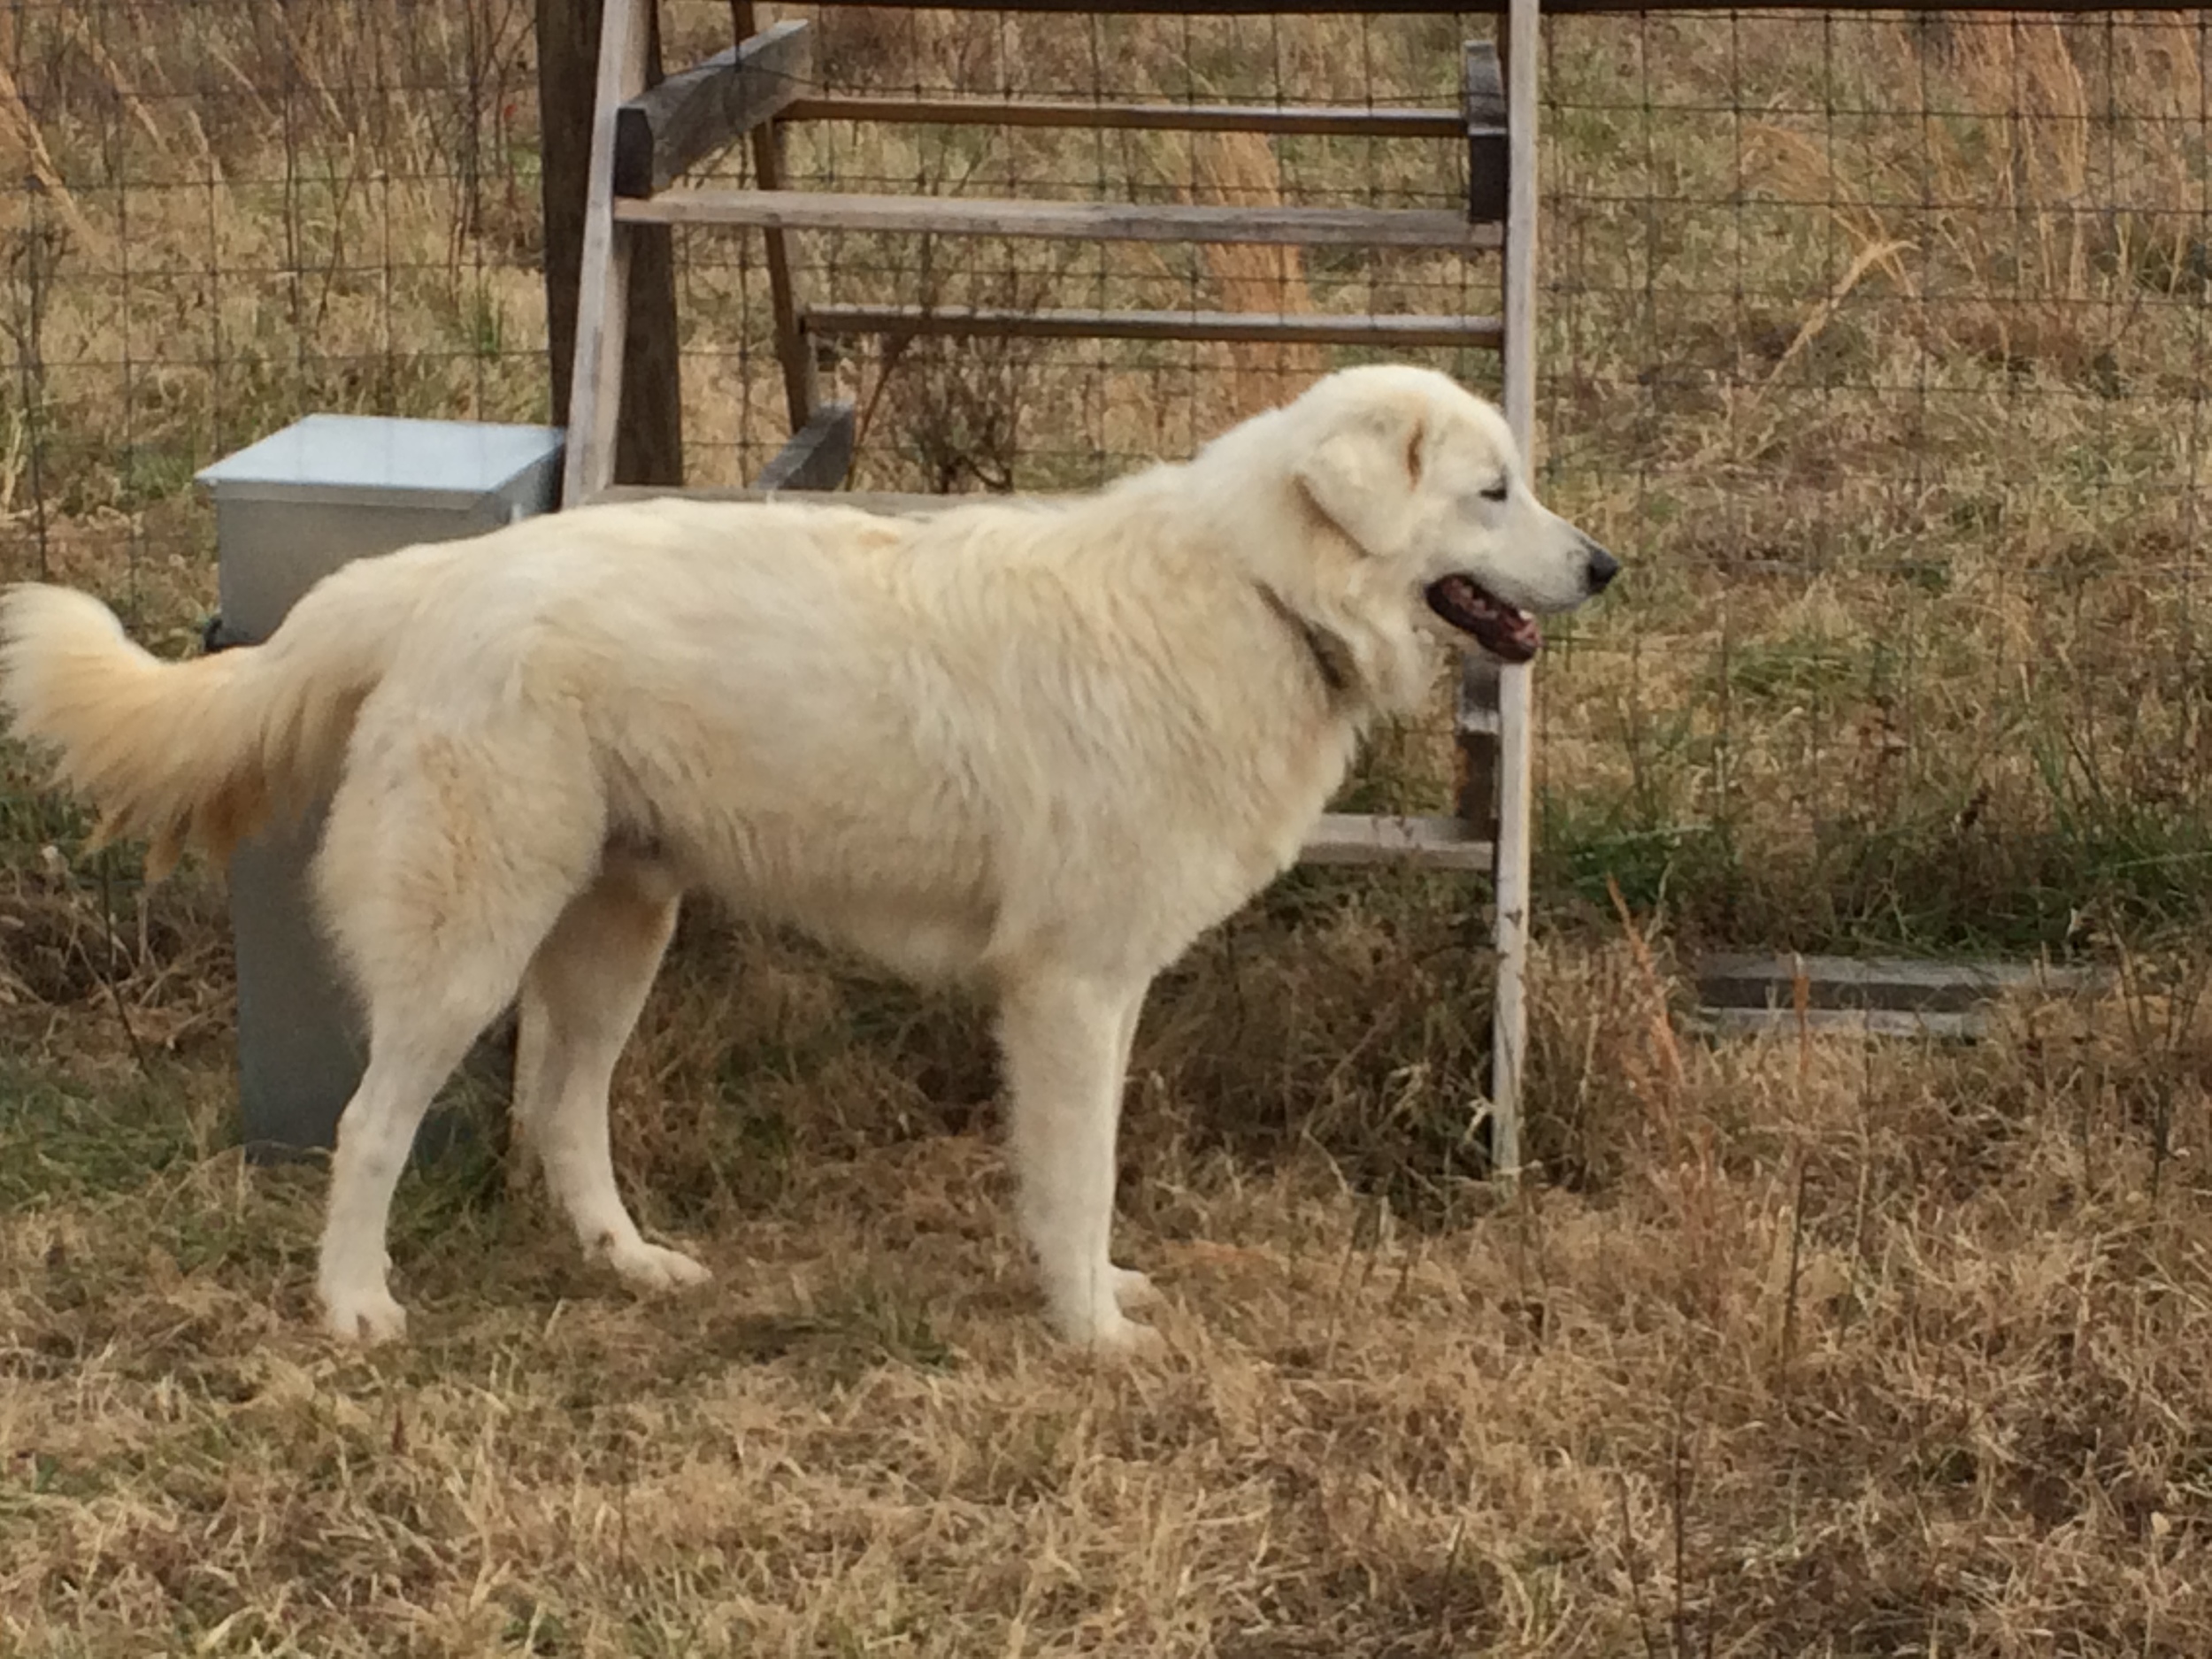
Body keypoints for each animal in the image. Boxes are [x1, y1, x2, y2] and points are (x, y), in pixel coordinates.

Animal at [4, 363, 1628, 1354]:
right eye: (1493, 492)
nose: (1610, 566)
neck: (1260, 592)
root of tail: (436, 575)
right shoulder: (1072, 990)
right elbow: (1084, 1170)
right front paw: (1091, 1332)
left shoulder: (1083, 995)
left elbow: (1075, 1180)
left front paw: (1093, 1293)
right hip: (472, 943)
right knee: (371, 1127)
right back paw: (354, 1305)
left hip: (618, 934)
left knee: (563, 1113)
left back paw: (630, 1263)